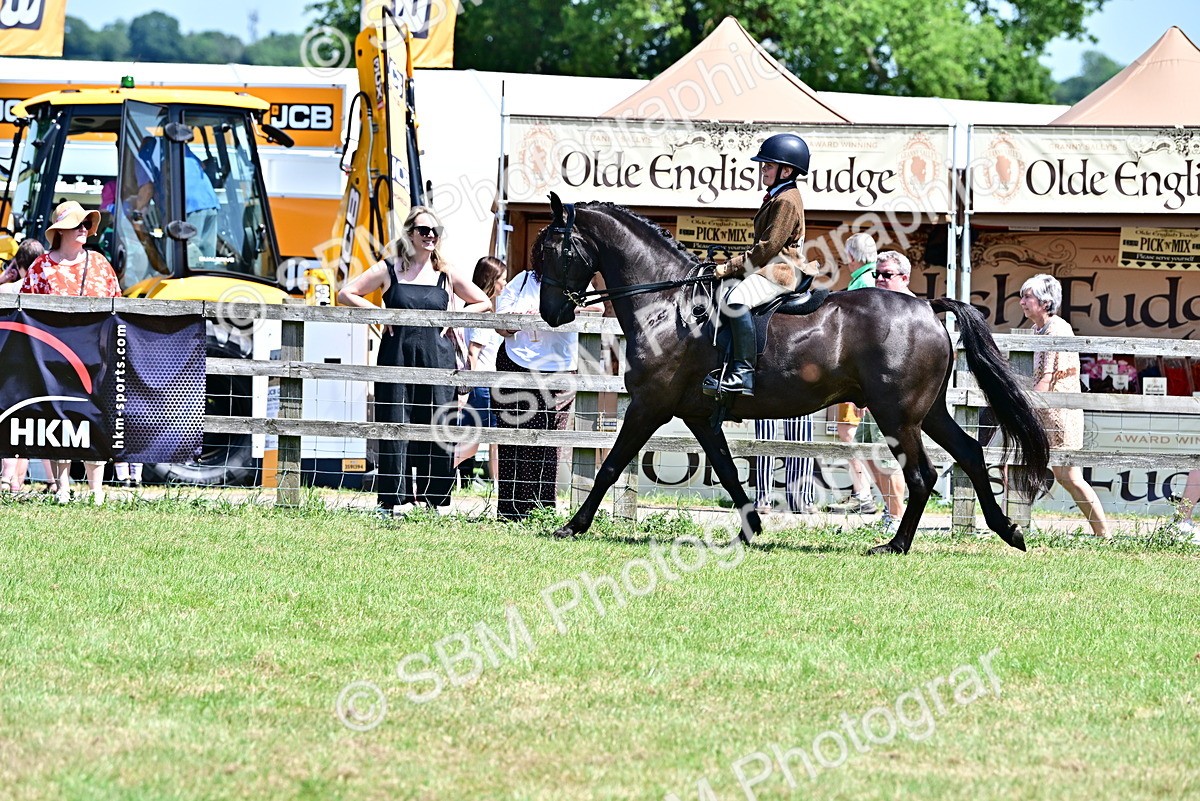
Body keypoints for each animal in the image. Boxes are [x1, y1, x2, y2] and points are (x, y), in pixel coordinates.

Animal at [535, 193, 1050, 555]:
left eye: (552, 250)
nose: (551, 314)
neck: (668, 304)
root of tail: (926, 305)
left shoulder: (650, 405)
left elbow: (609, 466)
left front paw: (572, 526)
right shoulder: (698, 415)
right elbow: (727, 470)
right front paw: (751, 528)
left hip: (896, 416)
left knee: (920, 475)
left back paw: (895, 546)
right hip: (928, 412)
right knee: (969, 454)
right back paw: (1008, 531)